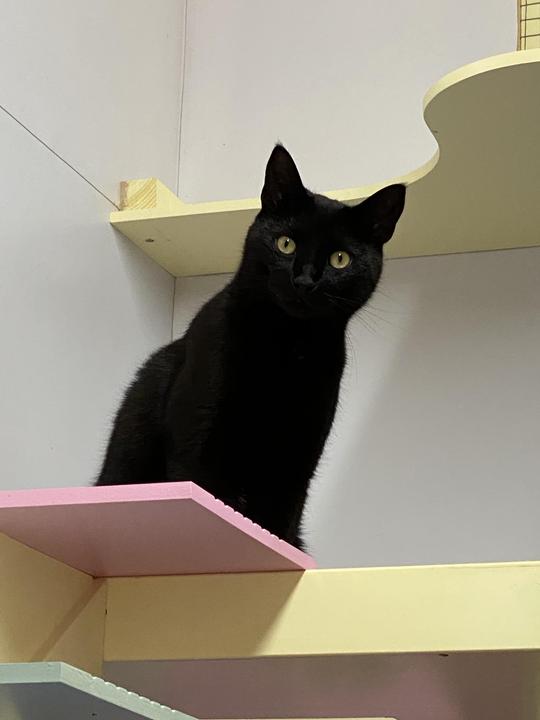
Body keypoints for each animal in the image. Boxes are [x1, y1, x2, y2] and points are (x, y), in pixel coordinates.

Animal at [96, 145, 405, 550]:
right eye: (286, 243)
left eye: (341, 259)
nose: (304, 280)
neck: (287, 345)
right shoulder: (200, 430)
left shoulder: (300, 451)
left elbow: (278, 519)